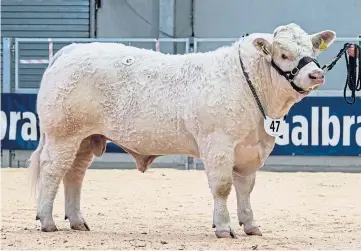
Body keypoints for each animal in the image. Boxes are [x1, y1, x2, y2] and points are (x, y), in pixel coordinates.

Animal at [28, 23, 334, 237]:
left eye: (312, 51)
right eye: (284, 54)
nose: (316, 74)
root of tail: (72, 50)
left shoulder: (250, 150)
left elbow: (245, 188)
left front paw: (250, 225)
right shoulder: (218, 144)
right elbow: (223, 186)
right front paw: (224, 227)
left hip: (85, 138)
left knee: (75, 175)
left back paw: (77, 221)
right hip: (62, 134)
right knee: (53, 171)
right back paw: (47, 220)